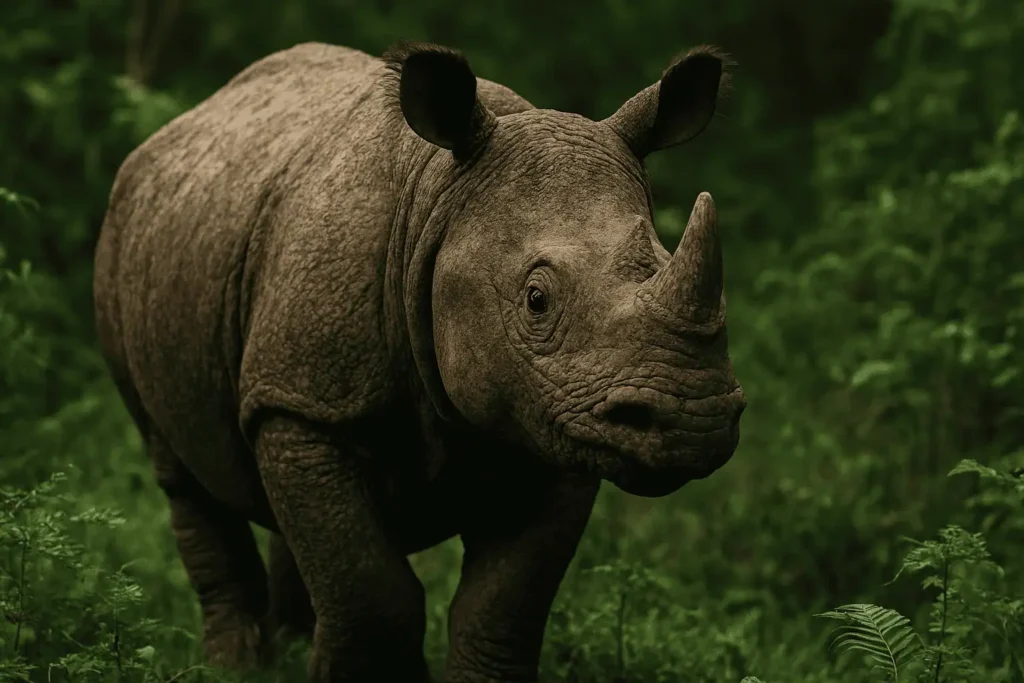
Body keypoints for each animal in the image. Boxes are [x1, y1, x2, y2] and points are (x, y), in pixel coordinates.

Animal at [93, 39, 746, 682]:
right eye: (536, 299)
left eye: (661, 258)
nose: (693, 420)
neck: (438, 200)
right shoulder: (302, 404)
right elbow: (372, 593)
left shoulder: (561, 419)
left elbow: (500, 607)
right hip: (123, 242)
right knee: (182, 474)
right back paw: (236, 668)